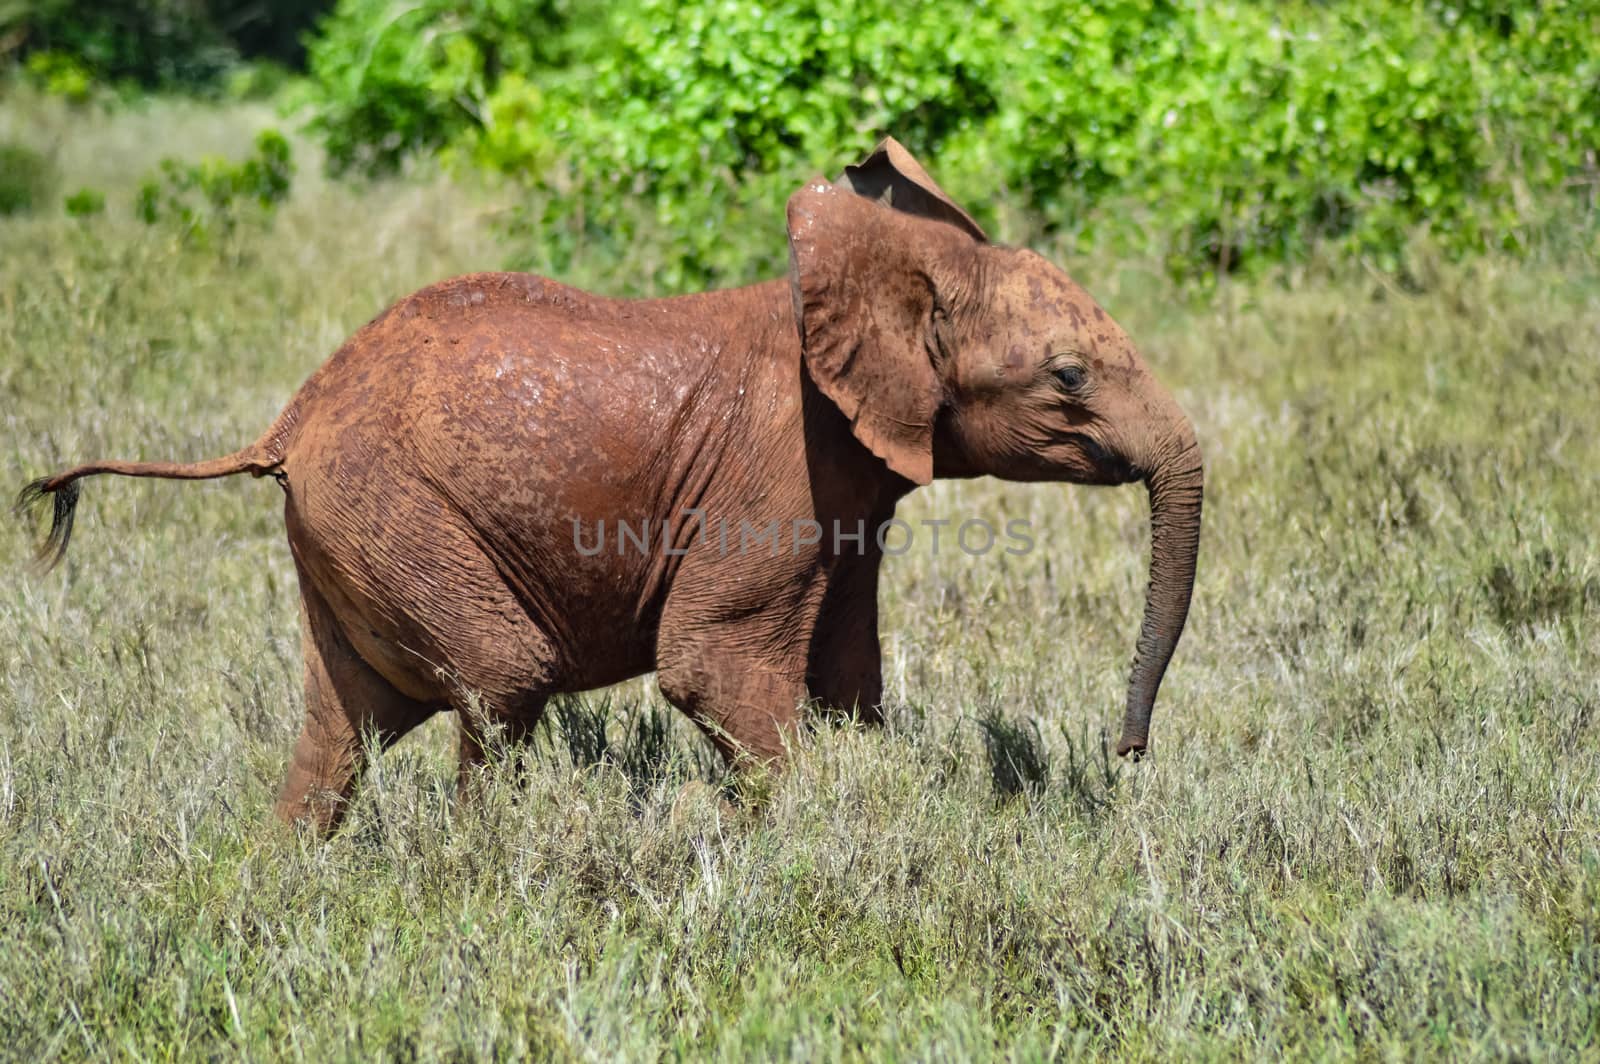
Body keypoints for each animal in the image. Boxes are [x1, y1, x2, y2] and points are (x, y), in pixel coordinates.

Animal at [15, 139, 1203, 832]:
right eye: (1069, 377)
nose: (1127, 752)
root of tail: (291, 417)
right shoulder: (781, 470)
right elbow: (712, 666)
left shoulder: (851, 491)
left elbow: (844, 678)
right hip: (394, 512)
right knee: (500, 679)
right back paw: (480, 879)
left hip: (345, 531)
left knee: (338, 728)